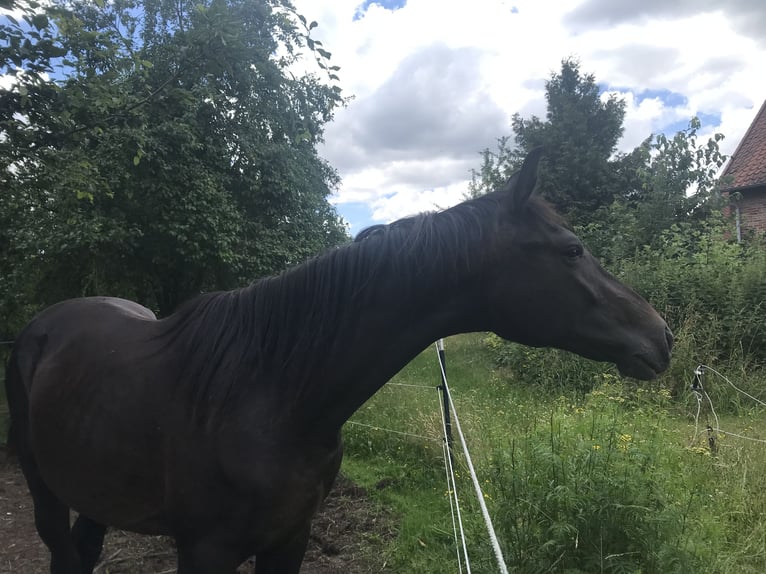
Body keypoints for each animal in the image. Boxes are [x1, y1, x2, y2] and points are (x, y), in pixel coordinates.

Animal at [4, 150, 672, 574]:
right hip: (44, 486)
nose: (661, 336)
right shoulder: (203, 552)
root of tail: (43, 325)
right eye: (572, 249)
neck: (271, 393)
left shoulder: (289, 539)